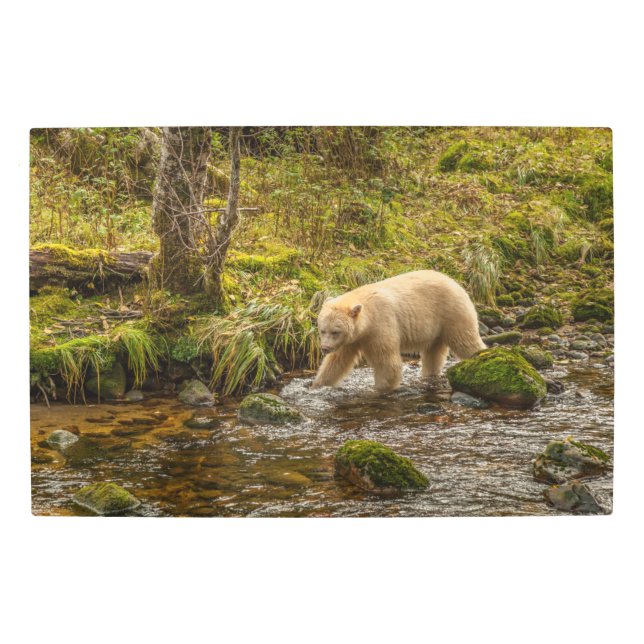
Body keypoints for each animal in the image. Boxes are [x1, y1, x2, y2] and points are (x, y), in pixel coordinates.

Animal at [311, 269, 486, 393]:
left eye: (335, 331)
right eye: (322, 330)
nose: (325, 348)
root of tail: (455, 282)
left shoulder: (380, 325)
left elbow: (387, 362)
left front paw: (380, 389)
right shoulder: (353, 339)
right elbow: (337, 362)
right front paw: (318, 385)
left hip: (452, 313)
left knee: (465, 341)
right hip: (436, 329)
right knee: (433, 353)